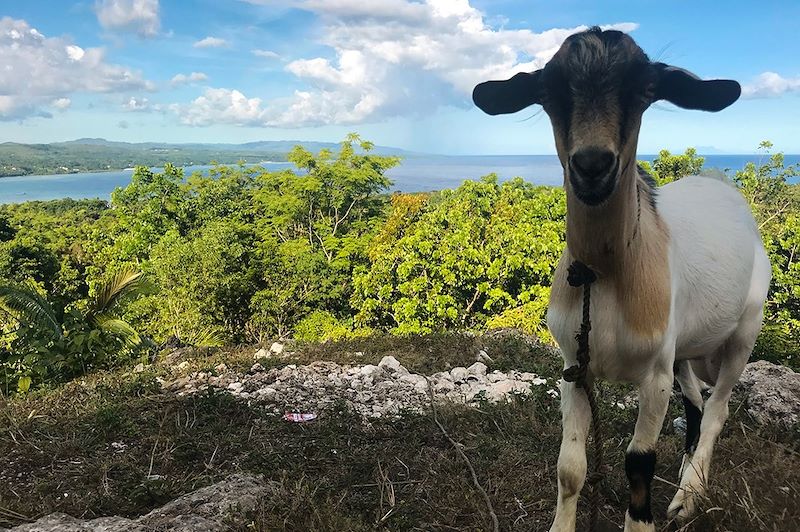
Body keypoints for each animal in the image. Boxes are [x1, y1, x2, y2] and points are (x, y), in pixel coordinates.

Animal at [472, 29, 772, 532]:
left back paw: (689, 494)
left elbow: (639, 463)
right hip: (684, 346)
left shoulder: (654, 374)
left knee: (718, 408)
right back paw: (685, 472)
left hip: (743, 331)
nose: (593, 166)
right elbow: (569, 467)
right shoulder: (574, 365)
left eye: (645, 90)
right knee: (695, 400)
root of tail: (719, 183)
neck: (606, 274)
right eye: (548, 92)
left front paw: (643, 519)